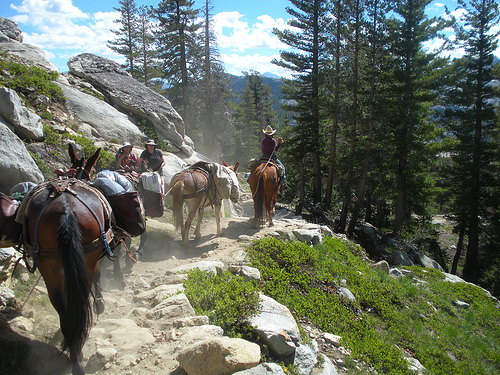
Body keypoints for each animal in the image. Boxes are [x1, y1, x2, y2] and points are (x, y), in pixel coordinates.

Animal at [20, 145, 113, 375]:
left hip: (48, 263)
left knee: (60, 303)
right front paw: (99, 303)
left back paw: (74, 353)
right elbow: (98, 275)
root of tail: (66, 209)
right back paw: (77, 352)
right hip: (83, 256)